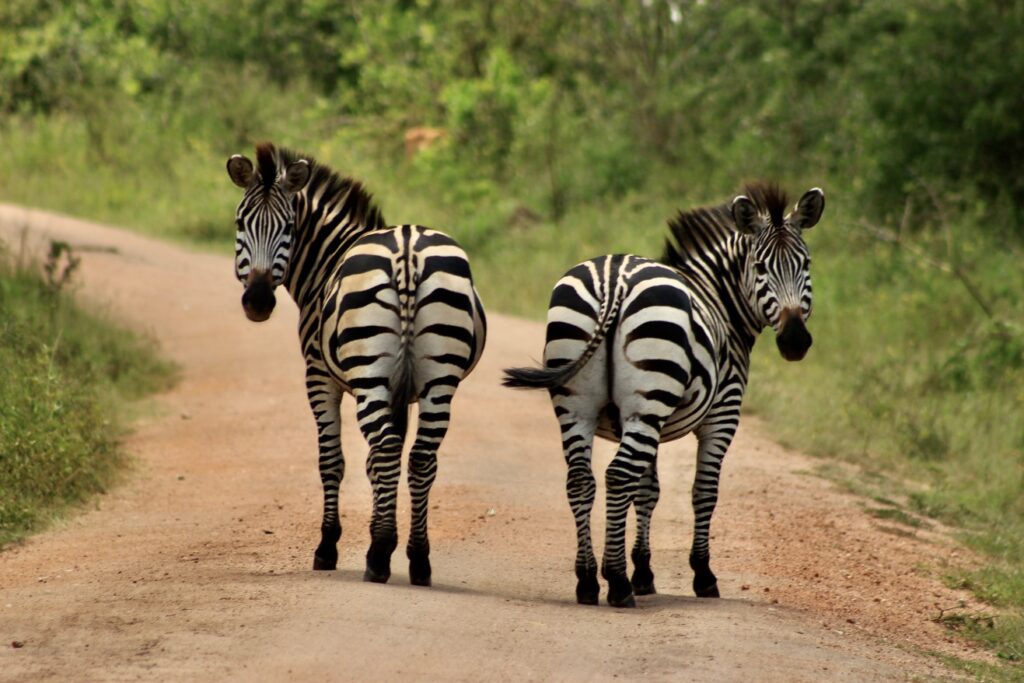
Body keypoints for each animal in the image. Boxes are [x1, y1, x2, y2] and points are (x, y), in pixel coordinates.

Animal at [226, 142, 487, 586]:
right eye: (242, 223)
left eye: (288, 227)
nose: (258, 302)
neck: (329, 257)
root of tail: (407, 250)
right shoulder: (401, 390)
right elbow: (377, 464)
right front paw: (383, 534)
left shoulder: (319, 376)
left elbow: (334, 462)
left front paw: (329, 547)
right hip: (439, 380)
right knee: (419, 458)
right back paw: (418, 559)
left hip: (368, 373)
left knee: (384, 447)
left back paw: (378, 558)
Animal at [503, 184, 824, 607]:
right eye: (760, 269)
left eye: (805, 265)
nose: (795, 342)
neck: (721, 301)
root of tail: (615, 280)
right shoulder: (722, 415)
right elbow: (703, 492)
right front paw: (701, 576)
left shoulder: (641, 422)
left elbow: (647, 490)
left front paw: (644, 572)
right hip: (648, 397)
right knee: (617, 475)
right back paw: (616, 583)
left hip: (582, 406)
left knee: (582, 481)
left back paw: (588, 580)